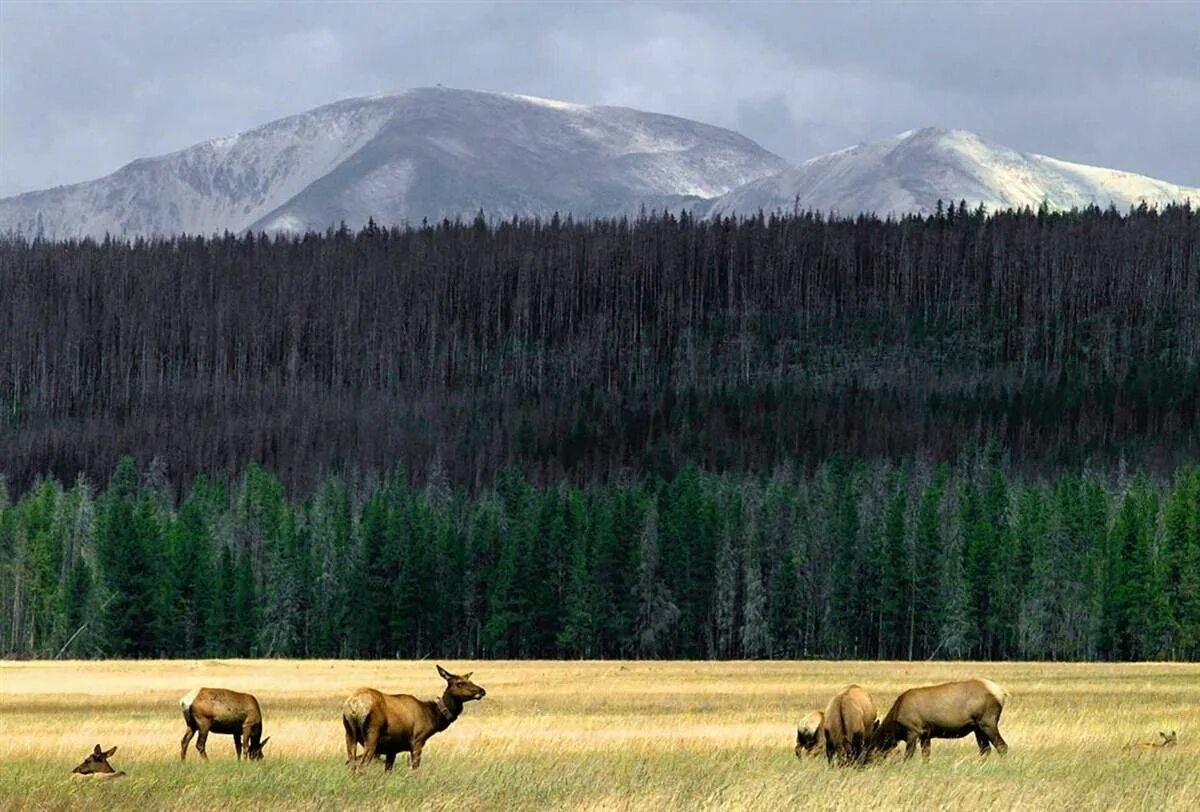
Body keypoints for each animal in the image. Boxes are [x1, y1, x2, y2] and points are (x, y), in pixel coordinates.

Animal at [340, 666, 484, 772]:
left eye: (470, 680)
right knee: (361, 767)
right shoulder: (417, 741)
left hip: (349, 733)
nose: (482, 690)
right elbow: (415, 770)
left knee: (351, 765)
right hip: (373, 732)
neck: (432, 717)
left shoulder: (392, 749)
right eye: (459, 683)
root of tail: (354, 705)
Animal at [868, 676, 1008, 758]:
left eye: (870, 747)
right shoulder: (925, 734)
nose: (865, 764)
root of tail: (1002, 694)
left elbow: (908, 756)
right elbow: (926, 755)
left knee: (1002, 746)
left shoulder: (913, 731)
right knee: (985, 749)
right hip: (977, 727)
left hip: (987, 722)